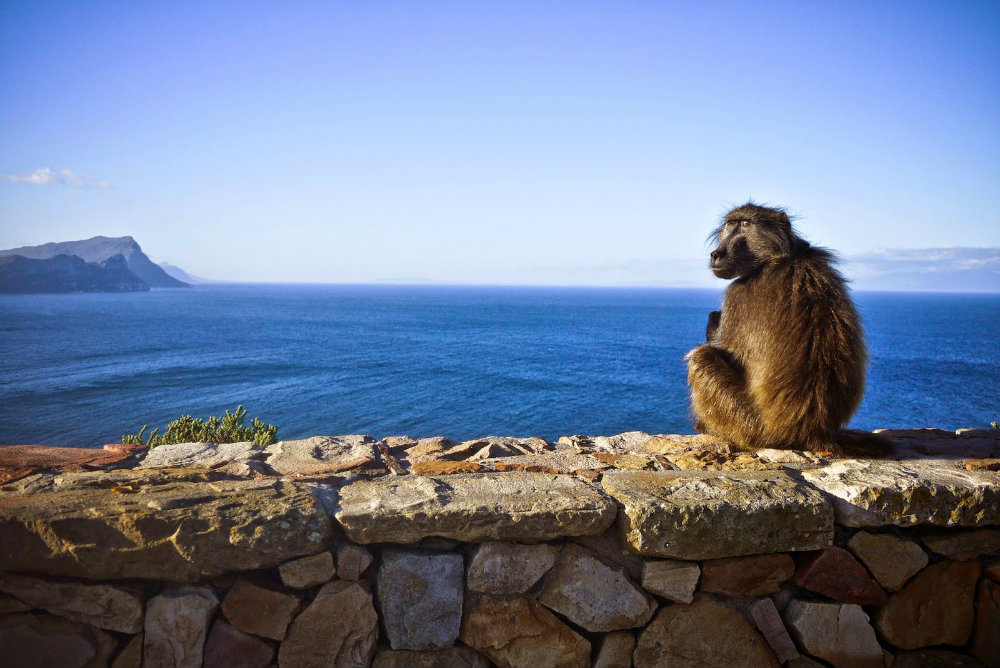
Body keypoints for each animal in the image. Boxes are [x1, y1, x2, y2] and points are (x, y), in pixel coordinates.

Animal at [685, 202, 887, 455]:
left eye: (745, 224)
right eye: (730, 224)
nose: (716, 254)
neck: (782, 257)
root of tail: (814, 434)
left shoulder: (737, 294)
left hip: (747, 425)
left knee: (701, 357)